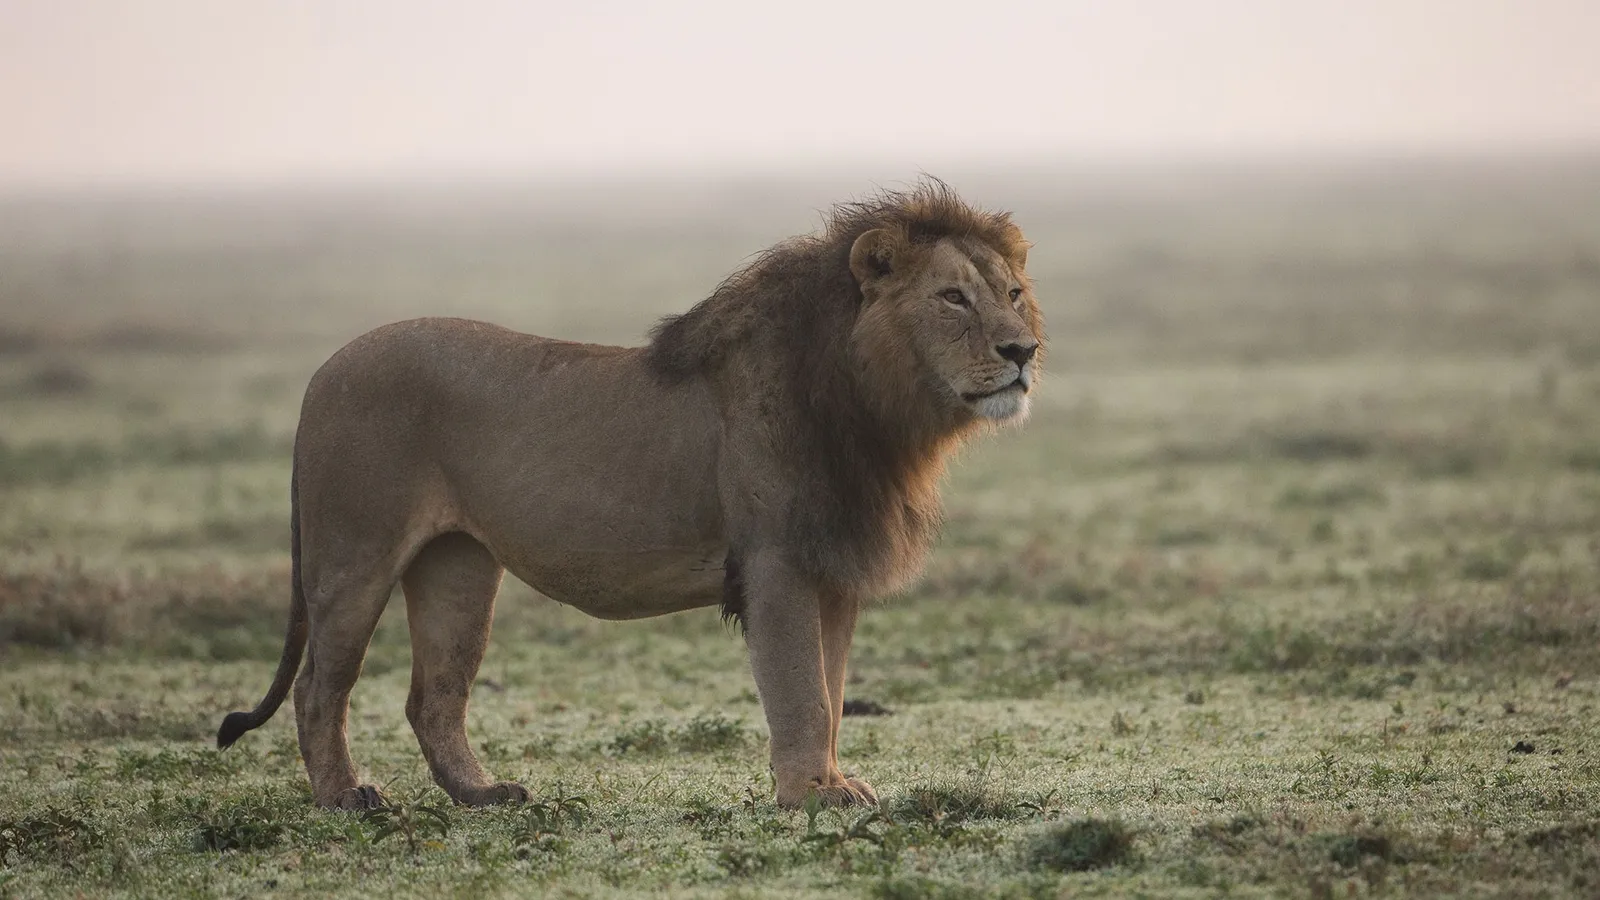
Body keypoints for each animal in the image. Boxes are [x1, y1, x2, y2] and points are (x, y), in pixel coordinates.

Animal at [216, 180, 1044, 811]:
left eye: (1013, 293)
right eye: (952, 298)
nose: (1023, 351)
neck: (873, 405)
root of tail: (322, 372)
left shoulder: (831, 570)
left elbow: (832, 690)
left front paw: (831, 782)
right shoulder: (775, 563)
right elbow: (802, 692)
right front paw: (811, 797)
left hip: (457, 567)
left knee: (434, 695)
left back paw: (483, 795)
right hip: (353, 553)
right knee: (318, 686)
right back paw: (345, 799)